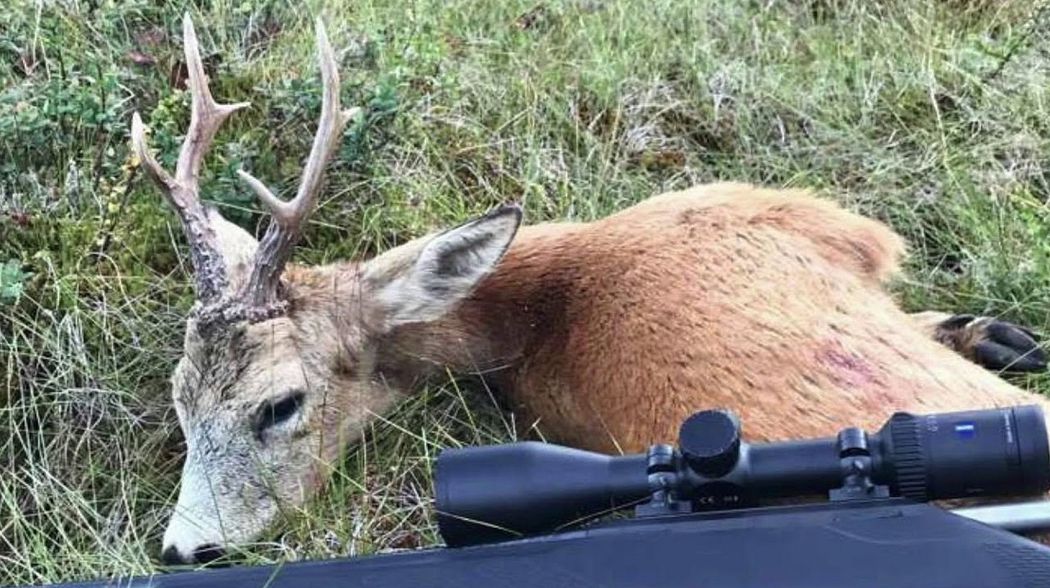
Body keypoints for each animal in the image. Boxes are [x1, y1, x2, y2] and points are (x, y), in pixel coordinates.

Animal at [133, 14, 1050, 567]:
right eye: (180, 400)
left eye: (280, 404)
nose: (186, 551)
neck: (548, 295)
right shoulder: (821, 225)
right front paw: (988, 329)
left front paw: (993, 331)